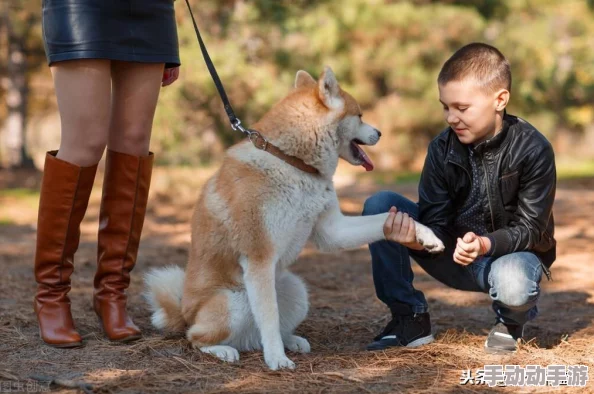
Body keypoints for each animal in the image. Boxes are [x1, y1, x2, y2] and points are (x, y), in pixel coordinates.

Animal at [142, 66, 440, 370]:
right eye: (360, 115)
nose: (379, 132)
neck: (292, 162)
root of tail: (184, 313)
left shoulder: (332, 231)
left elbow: (383, 221)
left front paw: (423, 234)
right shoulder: (259, 258)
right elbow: (269, 318)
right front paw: (276, 359)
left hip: (295, 290)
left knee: (261, 331)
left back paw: (290, 341)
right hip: (232, 302)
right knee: (197, 337)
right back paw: (223, 350)